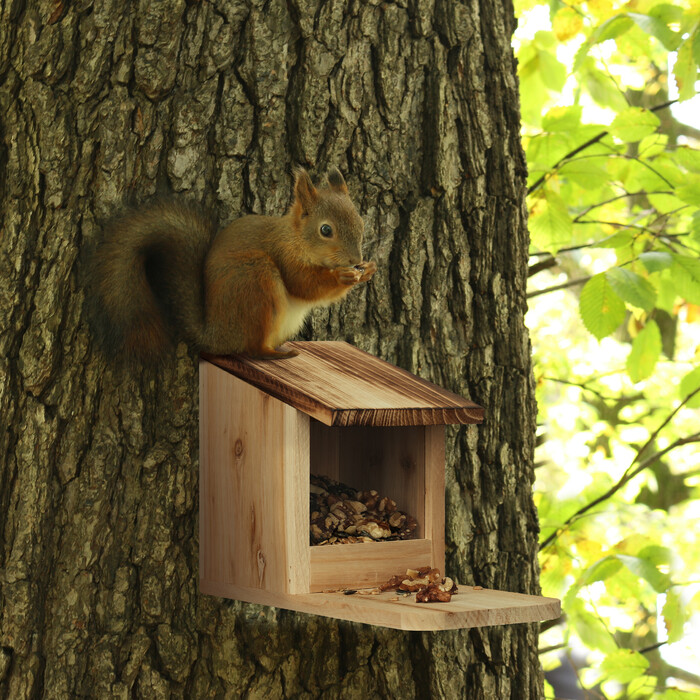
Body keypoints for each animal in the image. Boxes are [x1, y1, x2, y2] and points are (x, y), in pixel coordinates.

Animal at [94, 165, 378, 360]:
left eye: (361, 223)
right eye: (326, 230)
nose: (355, 259)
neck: (295, 238)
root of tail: (217, 336)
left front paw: (368, 270)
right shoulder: (284, 255)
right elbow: (304, 285)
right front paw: (343, 277)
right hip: (255, 282)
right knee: (252, 348)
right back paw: (274, 354)